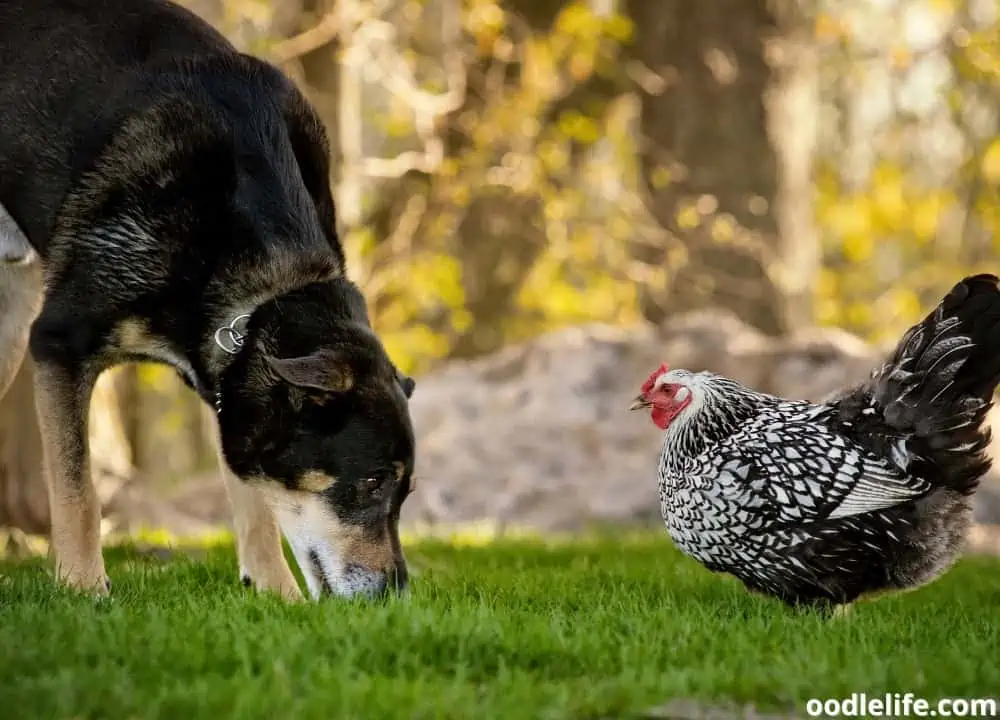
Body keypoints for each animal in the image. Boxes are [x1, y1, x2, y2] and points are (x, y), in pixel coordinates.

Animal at [0, 0, 418, 600]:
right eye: (371, 481)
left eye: (404, 493)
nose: (396, 596)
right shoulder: (59, 342)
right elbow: (78, 492)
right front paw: (83, 589)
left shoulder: (230, 385)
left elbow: (255, 504)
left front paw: (275, 592)